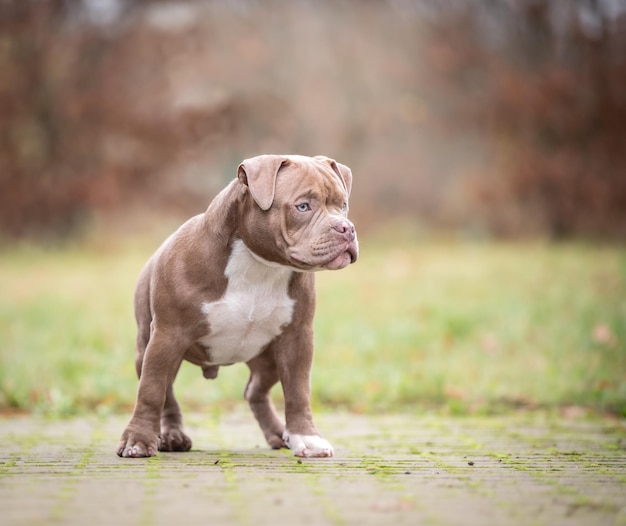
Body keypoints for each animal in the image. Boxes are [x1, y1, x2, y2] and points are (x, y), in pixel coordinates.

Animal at [116, 155, 356, 460]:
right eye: (303, 206)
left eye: (343, 205)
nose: (346, 228)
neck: (259, 264)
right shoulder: (167, 337)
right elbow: (150, 390)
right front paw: (137, 440)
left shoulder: (297, 339)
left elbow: (298, 391)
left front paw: (306, 438)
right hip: (147, 348)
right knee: (167, 394)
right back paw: (171, 436)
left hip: (269, 358)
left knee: (254, 390)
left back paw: (279, 434)